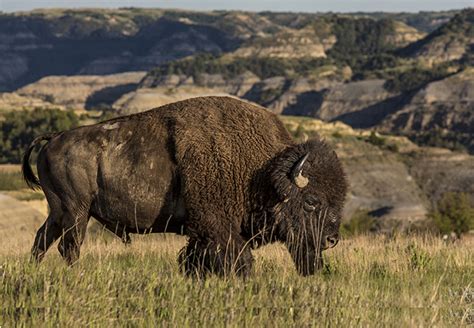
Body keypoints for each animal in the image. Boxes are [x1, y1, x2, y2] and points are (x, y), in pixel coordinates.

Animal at [22, 96, 346, 276]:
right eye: (312, 201)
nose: (332, 240)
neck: (262, 171)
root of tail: (54, 137)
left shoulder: (200, 233)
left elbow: (194, 261)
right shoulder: (217, 227)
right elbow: (238, 260)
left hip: (59, 212)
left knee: (42, 240)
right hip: (76, 212)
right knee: (68, 247)